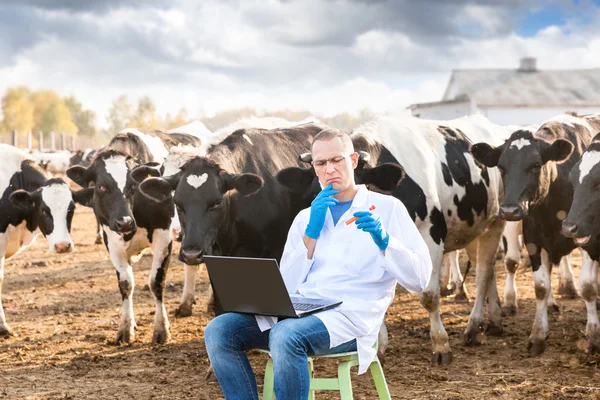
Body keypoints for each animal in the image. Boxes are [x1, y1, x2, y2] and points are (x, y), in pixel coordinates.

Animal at [66, 128, 202, 344]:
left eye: (132, 186)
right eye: (100, 187)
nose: (125, 222)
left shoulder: (164, 237)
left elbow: (156, 282)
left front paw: (161, 329)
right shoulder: (111, 242)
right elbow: (125, 284)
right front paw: (126, 327)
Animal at [276, 114, 516, 364]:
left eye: (358, 187)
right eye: (315, 194)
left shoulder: (431, 235)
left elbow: (429, 296)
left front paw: (441, 345)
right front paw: (378, 348)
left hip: (495, 221)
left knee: (483, 273)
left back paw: (473, 326)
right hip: (472, 228)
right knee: (485, 270)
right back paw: (494, 321)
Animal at [472, 112, 600, 354]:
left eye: (535, 165)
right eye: (501, 167)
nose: (509, 210)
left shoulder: (588, 237)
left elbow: (588, 287)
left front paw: (594, 337)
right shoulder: (533, 239)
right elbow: (540, 286)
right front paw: (538, 335)